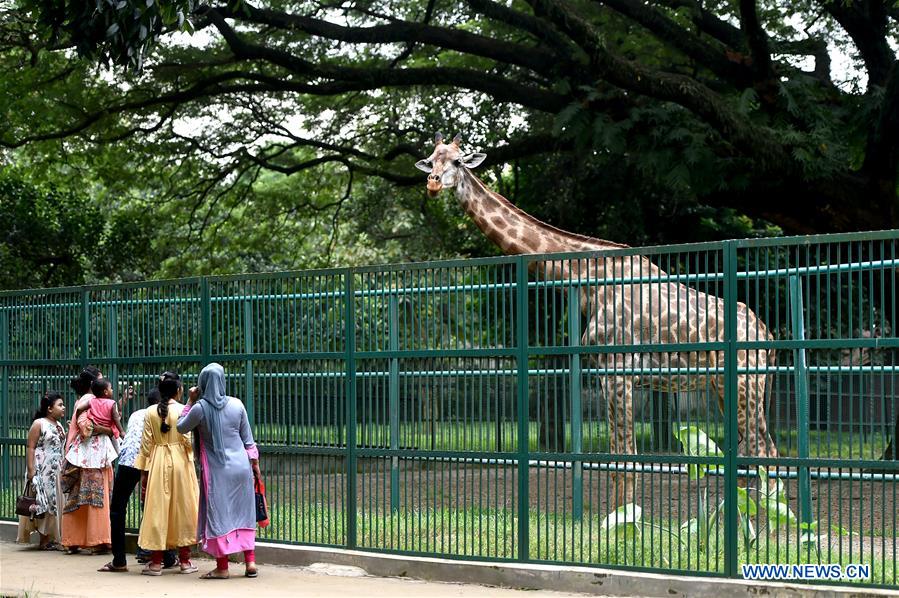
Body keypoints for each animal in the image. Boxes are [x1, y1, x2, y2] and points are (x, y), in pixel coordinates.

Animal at [418, 134, 776, 508]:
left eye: (458, 161)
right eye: (431, 159)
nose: (432, 184)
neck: (586, 279)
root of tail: (766, 335)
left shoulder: (617, 371)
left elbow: (625, 457)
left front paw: (623, 517)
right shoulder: (608, 374)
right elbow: (617, 458)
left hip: (745, 383)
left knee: (763, 451)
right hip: (725, 386)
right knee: (759, 449)